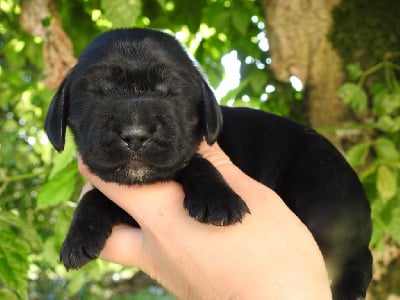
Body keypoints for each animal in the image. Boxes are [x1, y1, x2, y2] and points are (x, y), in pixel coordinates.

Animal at [45, 27, 374, 298]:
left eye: (172, 92)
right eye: (97, 93)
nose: (135, 134)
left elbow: (197, 163)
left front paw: (217, 199)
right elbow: (95, 196)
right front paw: (79, 234)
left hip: (321, 192)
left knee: (358, 254)